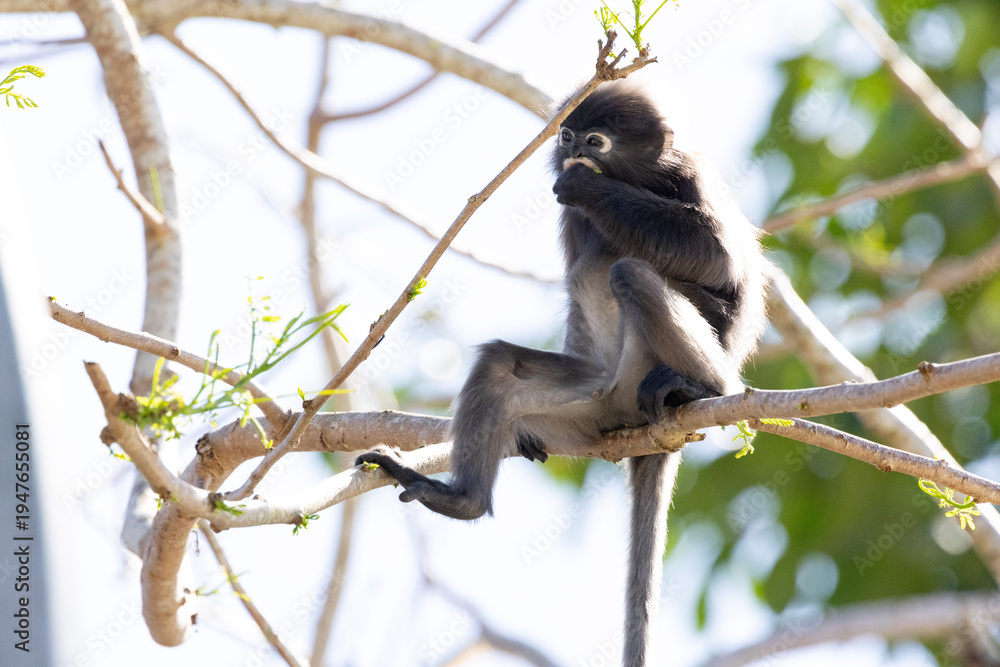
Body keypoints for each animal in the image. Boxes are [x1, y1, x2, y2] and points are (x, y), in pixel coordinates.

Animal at [356, 81, 767, 667]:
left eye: (596, 141)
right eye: (568, 134)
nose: (570, 149)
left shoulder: (691, 175)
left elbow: (719, 266)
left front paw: (586, 184)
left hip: (641, 375)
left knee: (631, 271)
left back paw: (702, 387)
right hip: (591, 407)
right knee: (500, 365)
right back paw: (461, 499)